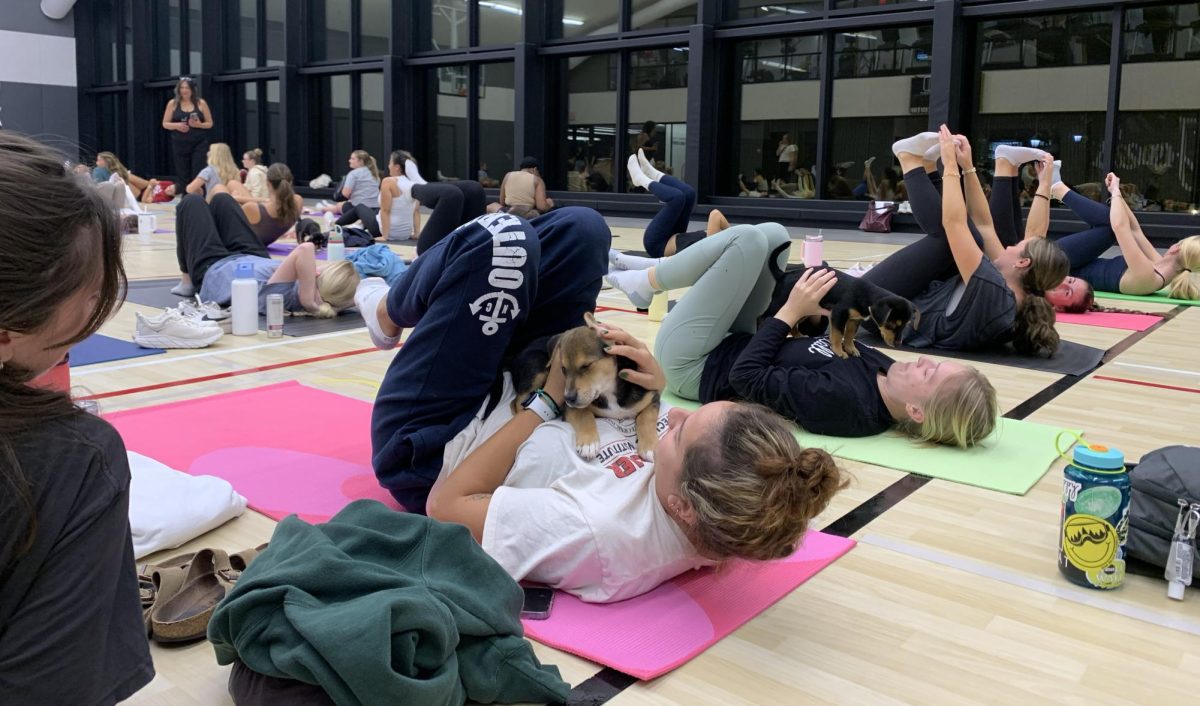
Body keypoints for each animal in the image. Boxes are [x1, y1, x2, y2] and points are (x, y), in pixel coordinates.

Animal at [508, 314, 662, 463]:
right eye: (563, 369)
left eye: (586, 366)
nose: (568, 398)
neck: (609, 392)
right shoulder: (570, 407)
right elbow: (584, 414)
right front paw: (589, 443)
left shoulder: (651, 398)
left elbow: (646, 418)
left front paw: (650, 447)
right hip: (537, 370)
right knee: (517, 402)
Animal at [763, 242, 921, 357]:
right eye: (890, 324)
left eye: (905, 326)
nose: (898, 344)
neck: (866, 296)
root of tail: (784, 275)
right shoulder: (839, 314)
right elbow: (838, 335)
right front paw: (839, 351)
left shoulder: (854, 320)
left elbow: (849, 335)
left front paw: (851, 349)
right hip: (780, 304)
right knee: (766, 317)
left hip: (804, 310)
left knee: (793, 323)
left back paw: (798, 335)